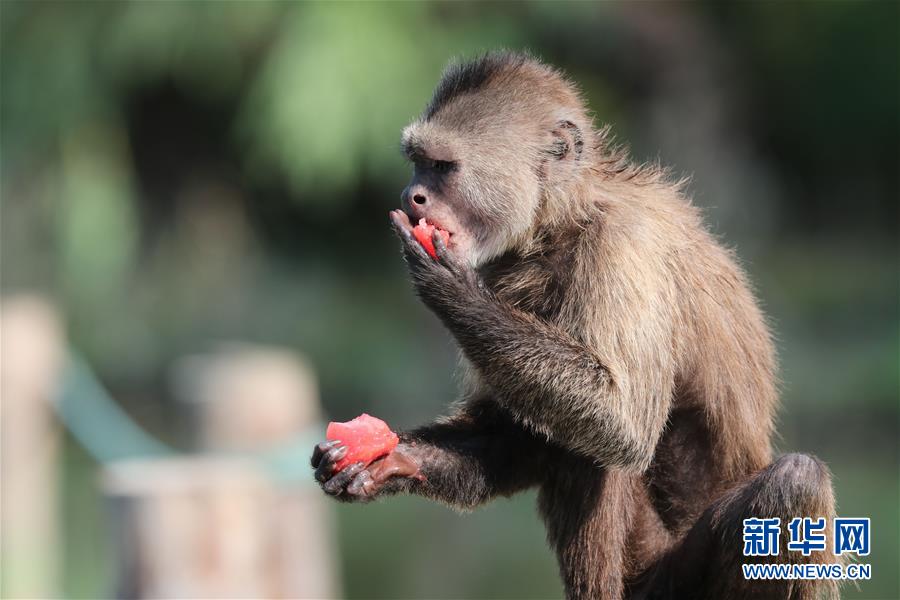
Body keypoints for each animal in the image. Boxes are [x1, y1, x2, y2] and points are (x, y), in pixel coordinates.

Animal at [310, 52, 836, 600]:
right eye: (417, 162)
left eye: (441, 167)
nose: (411, 195)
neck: (561, 221)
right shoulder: (506, 271)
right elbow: (513, 438)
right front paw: (391, 462)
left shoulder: (623, 247)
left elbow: (622, 423)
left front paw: (449, 287)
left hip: (669, 578)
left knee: (791, 479)